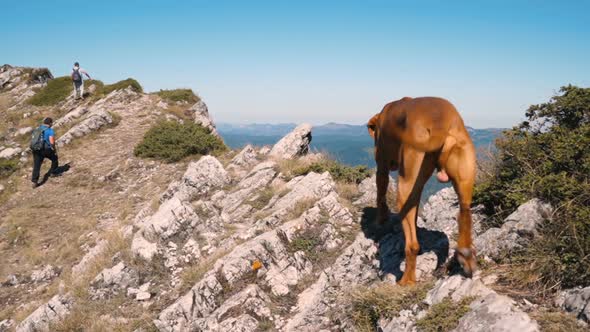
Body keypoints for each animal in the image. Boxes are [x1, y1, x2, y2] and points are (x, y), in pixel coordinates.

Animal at [370, 96, 480, 286]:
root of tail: (441, 122)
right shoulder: (417, 189)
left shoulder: (382, 167)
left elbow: (381, 195)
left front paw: (381, 219)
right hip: (464, 177)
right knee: (465, 212)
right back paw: (465, 256)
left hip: (404, 188)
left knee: (412, 246)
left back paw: (407, 280)